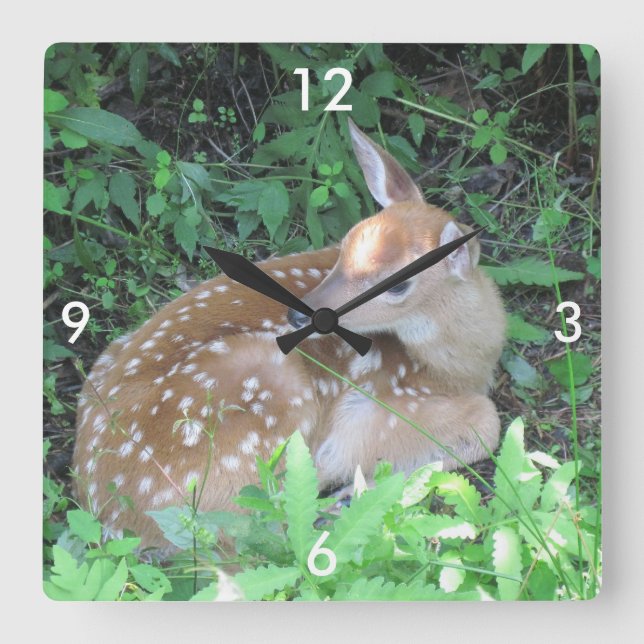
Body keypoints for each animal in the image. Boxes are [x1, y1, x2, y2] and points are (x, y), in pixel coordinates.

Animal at [72, 119, 506, 550]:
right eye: (345, 244)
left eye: (399, 285)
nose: (302, 312)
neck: (457, 368)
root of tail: (109, 513)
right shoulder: (375, 407)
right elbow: (487, 424)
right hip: (267, 395)